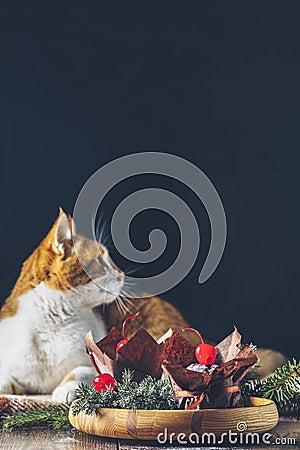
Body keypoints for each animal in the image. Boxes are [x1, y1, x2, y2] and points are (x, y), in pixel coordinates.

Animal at [0, 209, 286, 402]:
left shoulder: (97, 359)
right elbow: (5, 377)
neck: (52, 323)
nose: (122, 274)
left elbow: (79, 371)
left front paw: (65, 389)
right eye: (101, 261)